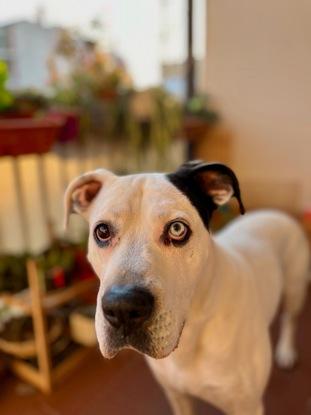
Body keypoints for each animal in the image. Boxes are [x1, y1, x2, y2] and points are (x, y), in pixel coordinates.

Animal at [64, 161, 310, 414]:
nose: (123, 307)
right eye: (102, 231)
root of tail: (276, 213)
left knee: (290, 319)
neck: (192, 332)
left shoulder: (247, 406)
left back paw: (286, 351)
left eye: (177, 229)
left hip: (295, 288)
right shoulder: (176, 396)